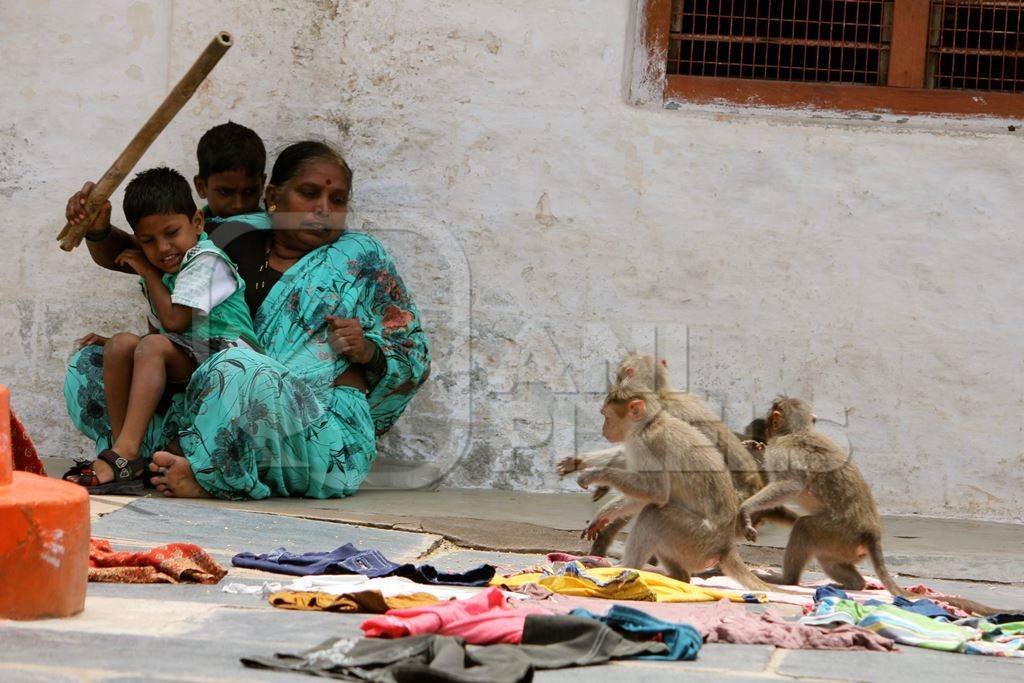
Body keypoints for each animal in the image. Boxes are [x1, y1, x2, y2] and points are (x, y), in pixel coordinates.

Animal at [569, 374, 774, 593]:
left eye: (607, 415)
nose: (603, 428)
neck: (649, 424)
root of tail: (726, 547)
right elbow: (647, 497)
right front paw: (602, 515)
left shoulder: (647, 444)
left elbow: (656, 492)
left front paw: (596, 474)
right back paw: (675, 577)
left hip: (698, 542)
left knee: (654, 515)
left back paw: (625, 568)